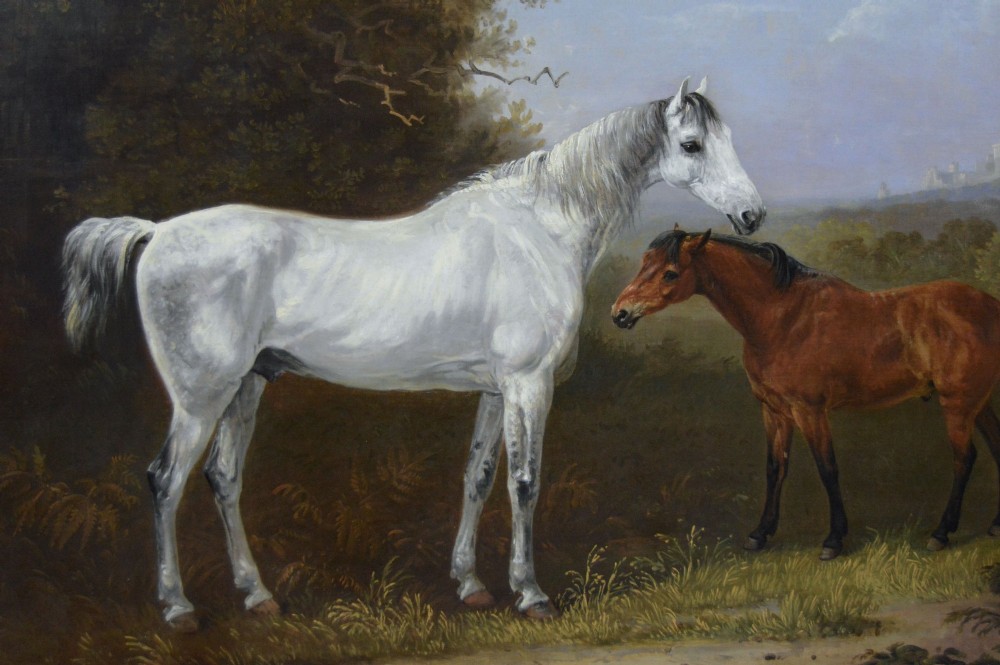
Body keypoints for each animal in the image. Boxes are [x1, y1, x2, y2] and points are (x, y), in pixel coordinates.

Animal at [62, 77, 765, 630]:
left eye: (729, 138)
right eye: (693, 145)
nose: (754, 214)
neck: (538, 228)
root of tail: (156, 232)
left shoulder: (494, 388)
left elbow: (478, 476)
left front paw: (472, 586)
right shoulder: (529, 384)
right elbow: (525, 482)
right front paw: (531, 594)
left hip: (247, 386)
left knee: (223, 479)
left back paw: (258, 597)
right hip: (201, 395)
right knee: (165, 481)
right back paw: (178, 608)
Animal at [612, 228, 1000, 560]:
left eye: (670, 273)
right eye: (645, 263)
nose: (620, 314)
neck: (782, 318)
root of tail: (989, 305)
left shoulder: (809, 411)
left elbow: (827, 468)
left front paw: (833, 540)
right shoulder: (774, 410)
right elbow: (775, 468)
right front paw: (759, 534)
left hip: (959, 404)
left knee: (964, 459)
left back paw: (941, 533)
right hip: (980, 403)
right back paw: (993, 526)